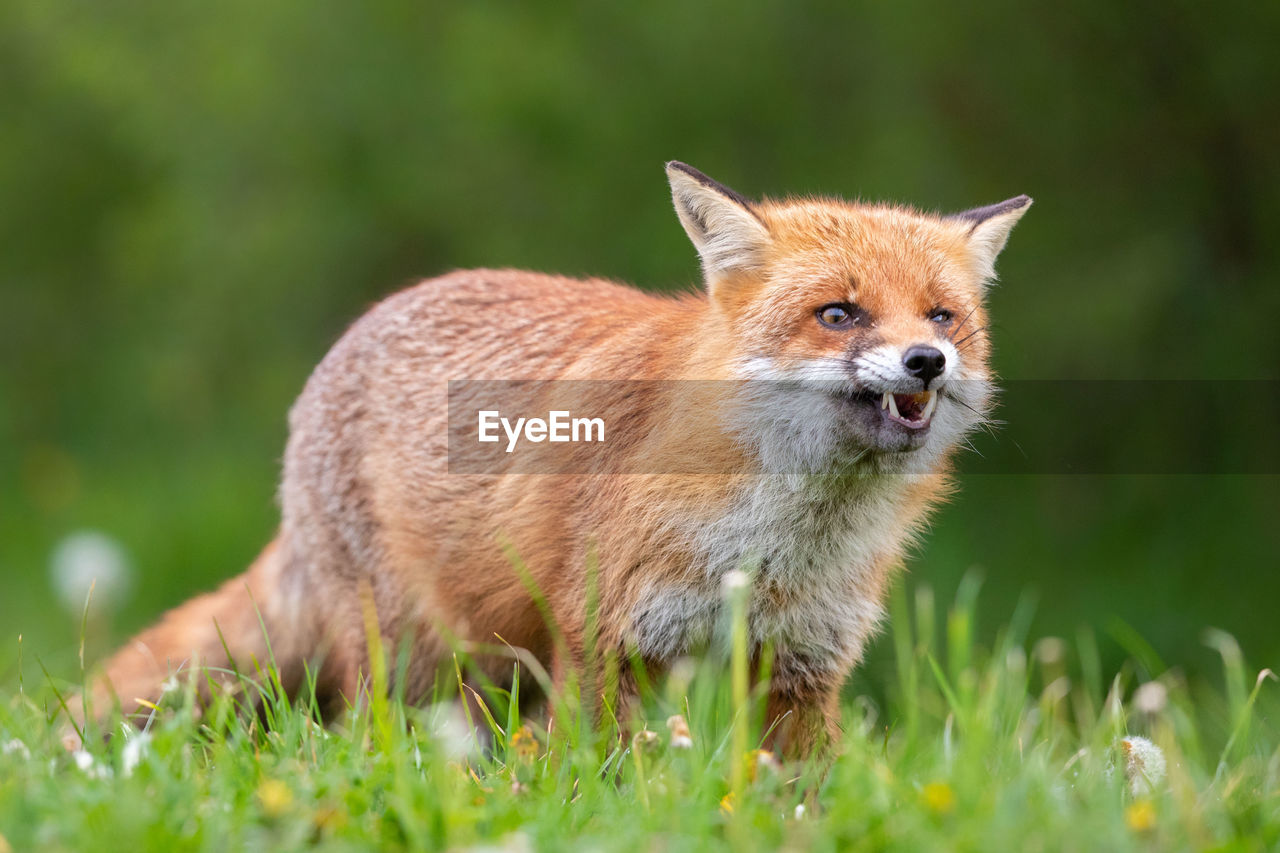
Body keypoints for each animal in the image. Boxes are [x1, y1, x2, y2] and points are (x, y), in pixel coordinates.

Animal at [82, 162, 1029, 753]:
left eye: (941, 316)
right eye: (839, 314)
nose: (926, 362)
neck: (774, 544)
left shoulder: (801, 668)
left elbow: (801, 793)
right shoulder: (605, 641)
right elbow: (605, 773)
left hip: (500, 665)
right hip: (420, 656)